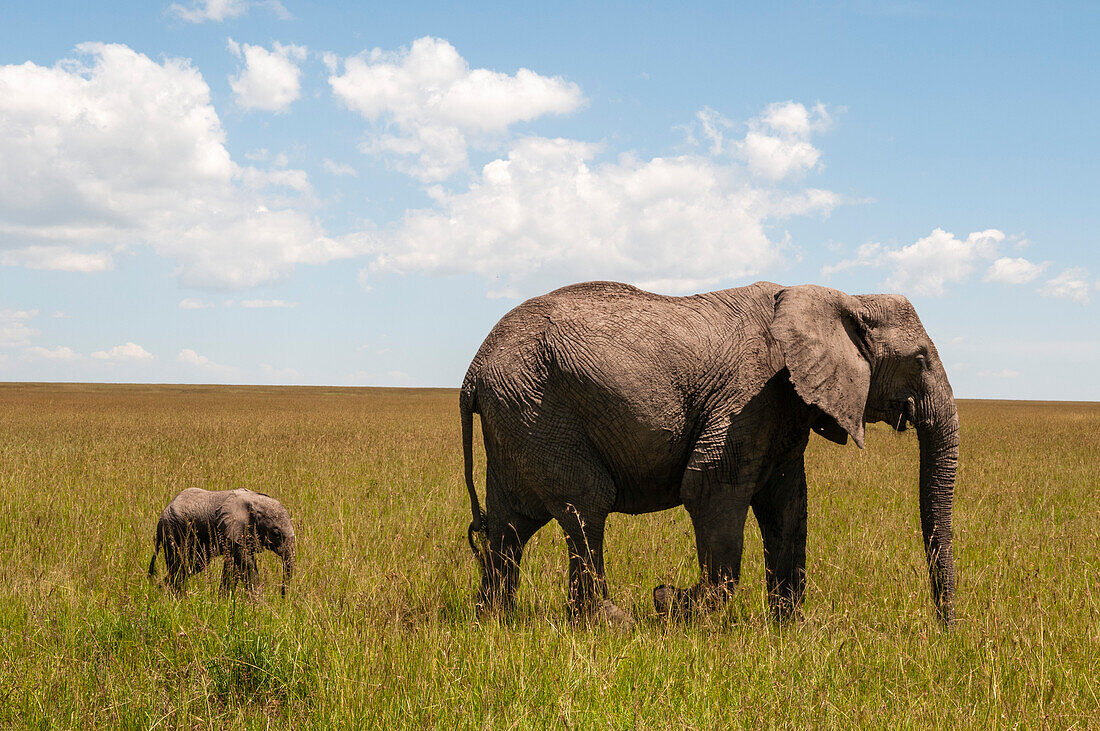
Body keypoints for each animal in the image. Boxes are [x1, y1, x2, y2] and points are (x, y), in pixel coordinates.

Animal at [150, 488, 299, 597]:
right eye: (276, 533)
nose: (282, 597)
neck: (255, 501)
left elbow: (233, 566)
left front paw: (223, 601)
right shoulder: (233, 529)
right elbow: (247, 565)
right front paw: (258, 605)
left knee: (193, 566)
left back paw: (161, 588)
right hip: (172, 531)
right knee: (178, 565)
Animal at [459, 281, 959, 624]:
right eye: (918, 359)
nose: (946, 632)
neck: (842, 297)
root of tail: (472, 373)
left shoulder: (783, 407)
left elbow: (787, 507)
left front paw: (790, 629)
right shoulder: (750, 396)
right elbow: (709, 489)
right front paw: (675, 607)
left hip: (517, 416)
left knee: (510, 524)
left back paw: (494, 621)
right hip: (538, 409)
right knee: (586, 507)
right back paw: (611, 623)